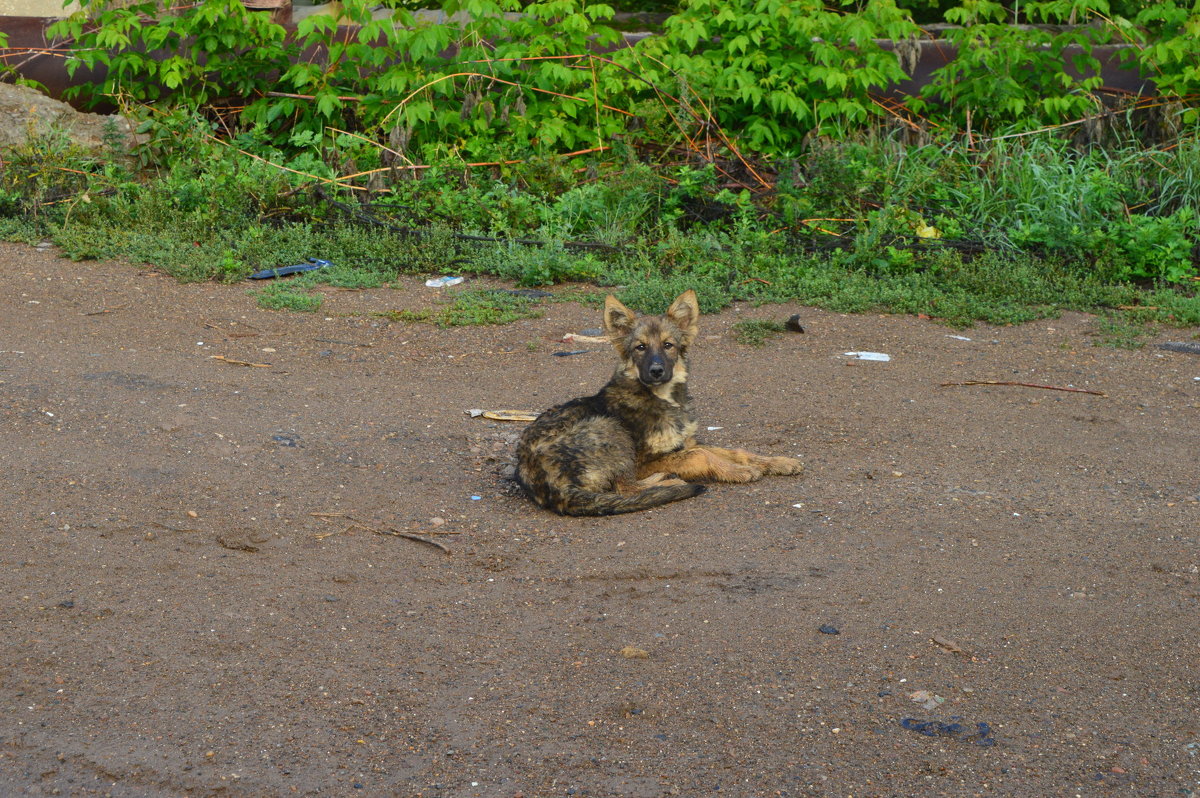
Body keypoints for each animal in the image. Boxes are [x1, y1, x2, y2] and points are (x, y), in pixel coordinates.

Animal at [513, 289, 801, 513]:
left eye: (668, 345)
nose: (656, 371)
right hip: (610, 427)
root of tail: (546, 486)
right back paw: (670, 482)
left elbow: (735, 451)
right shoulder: (645, 460)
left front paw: (776, 462)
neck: (664, 398)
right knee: (625, 488)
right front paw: (737, 471)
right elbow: (702, 454)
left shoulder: (685, 442)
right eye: (640, 347)